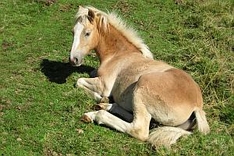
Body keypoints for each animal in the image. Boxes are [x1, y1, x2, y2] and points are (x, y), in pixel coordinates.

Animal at [70, 6, 210, 147]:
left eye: (87, 33)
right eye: (73, 32)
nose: (73, 59)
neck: (117, 55)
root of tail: (197, 106)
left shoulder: (104, 86)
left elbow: (79, 81)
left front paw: (100, 98)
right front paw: (102, 100)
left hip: (142, 85)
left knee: (138, 129)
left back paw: (94, 114)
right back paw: (104, 106)